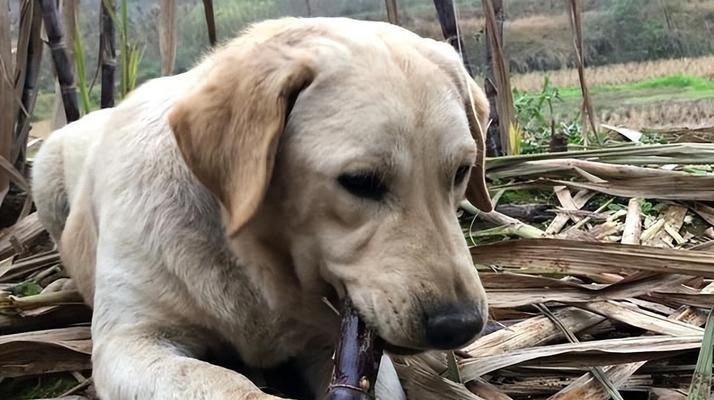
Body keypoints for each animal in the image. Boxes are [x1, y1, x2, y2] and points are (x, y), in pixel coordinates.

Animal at [32, 17, 490, 398]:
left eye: (461, 172)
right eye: (360, 181)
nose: (461, 325)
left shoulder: (335, 345)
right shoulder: (128, 341)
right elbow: (229, 384)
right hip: (44, 171)